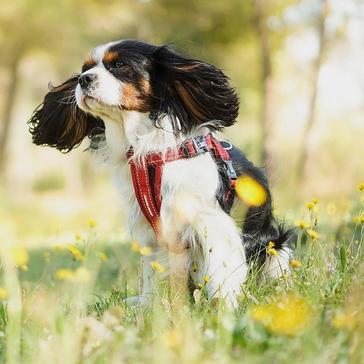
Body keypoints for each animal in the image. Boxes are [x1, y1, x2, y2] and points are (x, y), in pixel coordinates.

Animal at [29, 39, 296, 308]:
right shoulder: (150, 229)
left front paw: (223, 307)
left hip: (276, 247)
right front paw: (148, 305)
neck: (149, 149)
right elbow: (151, 271)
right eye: (86, 68)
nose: (84, 79)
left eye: (120, 65)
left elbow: (221, 272)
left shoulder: (211, 223)